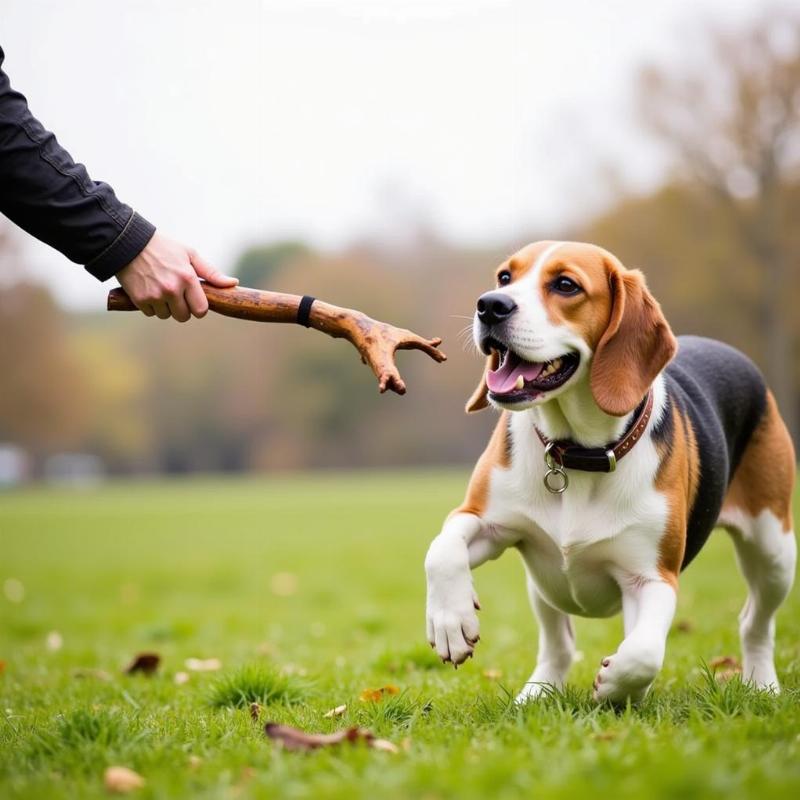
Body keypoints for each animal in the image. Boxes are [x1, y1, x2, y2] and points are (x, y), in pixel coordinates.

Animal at [424, 241, 792, 704]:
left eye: (566, 285)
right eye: (505, 277)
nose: (489, 305)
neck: (576, 453)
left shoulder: (651, 577)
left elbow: (644, 653)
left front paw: (614, 684)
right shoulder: (486, 522)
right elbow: (441, 548)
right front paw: (450, 621)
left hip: (775, 550)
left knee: (755, 623)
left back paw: (762, 684)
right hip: (543, 585)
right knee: (559, 644)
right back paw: (537, 693)